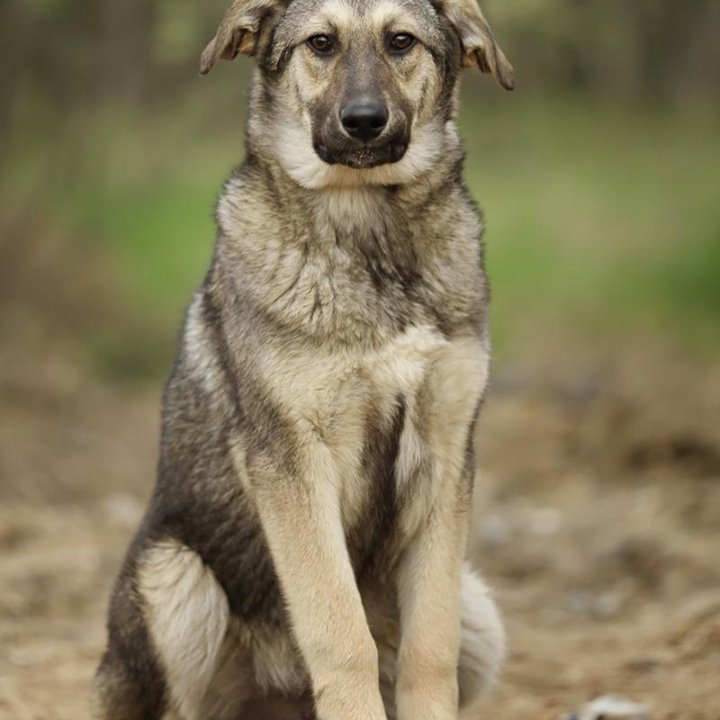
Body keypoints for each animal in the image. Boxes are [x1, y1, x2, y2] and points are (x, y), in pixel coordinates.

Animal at [93, 1, 516, 720]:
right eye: (320, 43)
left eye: (401, 42)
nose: (364, 121)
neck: (369, 235)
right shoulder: (292, 459)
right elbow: (341, 633)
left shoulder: (446, 453)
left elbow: (430, 651)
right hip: (174, 577)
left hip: (481, 606)